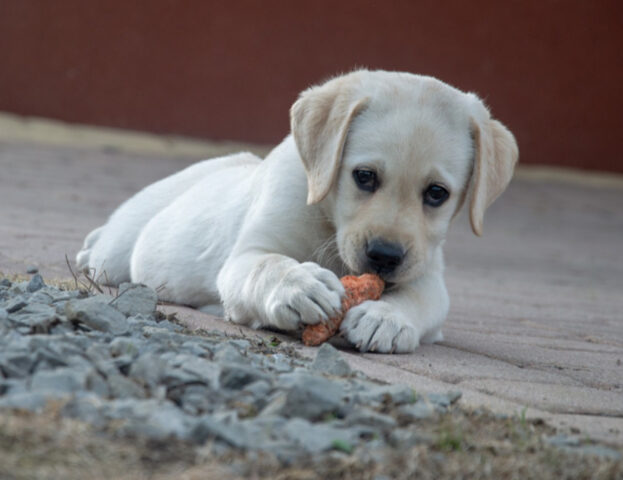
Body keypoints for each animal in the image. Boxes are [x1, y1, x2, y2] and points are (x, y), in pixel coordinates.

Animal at [75, 69, 520, 352]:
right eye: (364, 176)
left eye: (436, 194)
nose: (384, 256)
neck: (328, 222)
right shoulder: (246, 256)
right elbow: (268, 265)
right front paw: (299, 286)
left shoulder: (427, 274)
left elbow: (420, 300)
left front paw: (386, 318)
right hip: (118, 251)